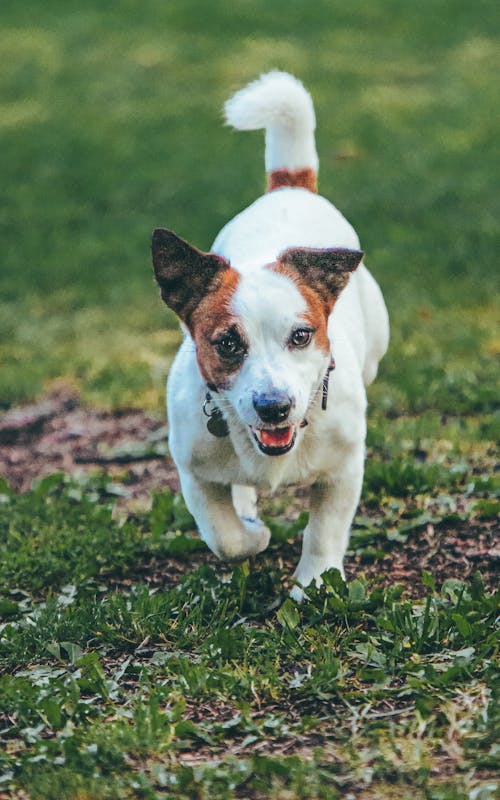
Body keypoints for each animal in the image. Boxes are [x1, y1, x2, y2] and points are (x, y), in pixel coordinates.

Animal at [152, 73, 390, 600]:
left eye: (301, 336)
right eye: (227, 343)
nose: (274, 408)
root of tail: (290, 186)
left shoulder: (344, 470)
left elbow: (325, 529)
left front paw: (315, 582)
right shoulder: (194, 472)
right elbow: (224, 536)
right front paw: (252, 533)